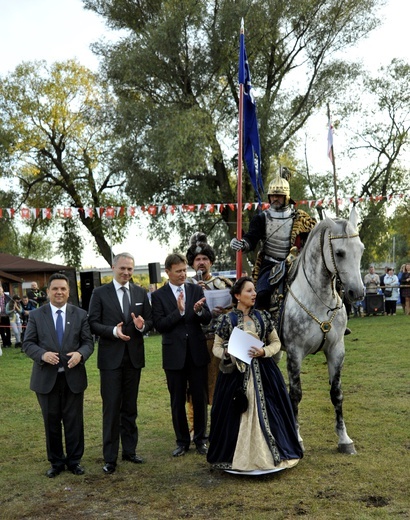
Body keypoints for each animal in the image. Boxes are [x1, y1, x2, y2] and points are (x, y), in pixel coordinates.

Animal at [280, 208, 364, 456]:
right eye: (339, 252)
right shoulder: (294, 353)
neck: (318, 298)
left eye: (361, 250)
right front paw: (297, 439)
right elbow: (295, 394)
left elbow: (336, 393)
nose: (357, 293)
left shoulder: (336, 350)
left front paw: (344, 439)